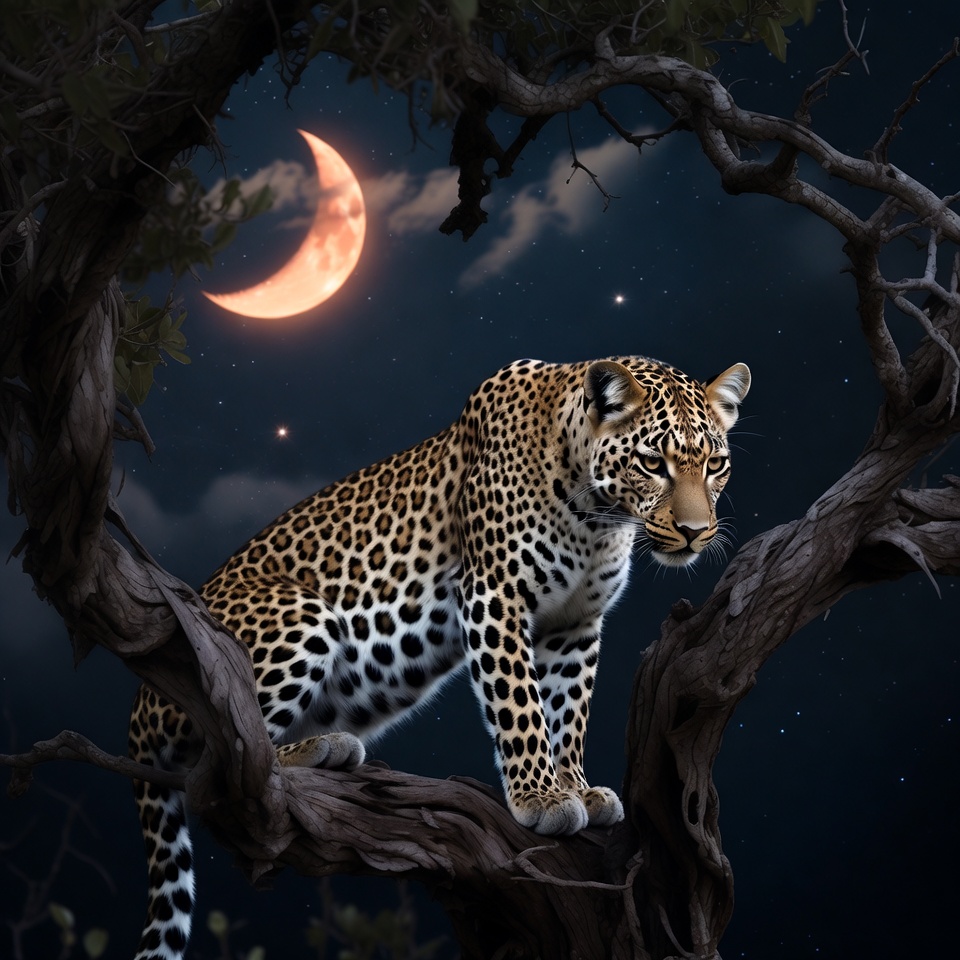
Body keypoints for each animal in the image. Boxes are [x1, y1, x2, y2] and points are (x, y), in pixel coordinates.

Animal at [128, 355, 750, 960]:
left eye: (716, 465)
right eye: (652, 463)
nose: (696, 532)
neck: (597, 517)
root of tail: (137, 708)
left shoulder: (575, 625)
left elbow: (569, 710)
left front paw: (575, 786)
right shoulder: (493, 596)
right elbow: (520, 705)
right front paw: (541, 797)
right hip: (300, 616)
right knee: (227, 758)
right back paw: (319, 749)